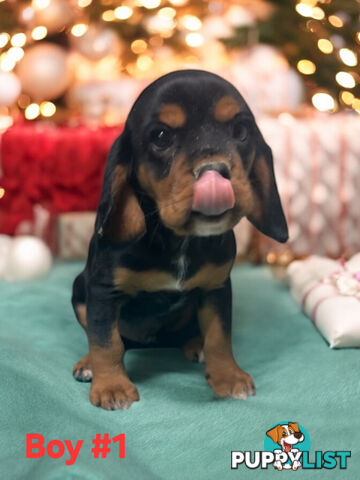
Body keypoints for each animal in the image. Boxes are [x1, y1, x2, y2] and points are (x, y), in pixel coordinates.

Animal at [71, 69, 288, 410]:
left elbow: (219, 336)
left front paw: (228, 377)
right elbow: (106, 341)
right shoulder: (102, 292)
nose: (215, 172)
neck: (181, 241)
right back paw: (88, 364)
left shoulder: (216, 288)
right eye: (161, 137)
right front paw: (112, 386)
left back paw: (194, 345)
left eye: (240, 131)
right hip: (79, 288)